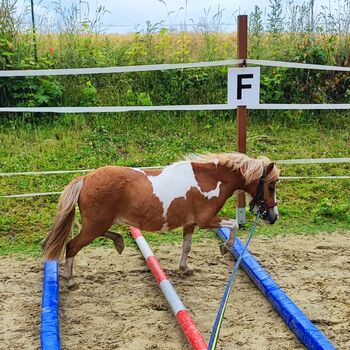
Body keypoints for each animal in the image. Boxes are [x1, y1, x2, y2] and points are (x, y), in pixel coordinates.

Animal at [43, 152, 278, 288]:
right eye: (271, 186)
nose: (274, 217)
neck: (209, 180)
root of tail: (85, 178)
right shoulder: (206, 220)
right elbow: (234, 224)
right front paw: (225, 247)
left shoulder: (191, 223)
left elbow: (186, 246)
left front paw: (185, 268)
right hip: (94, 225)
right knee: (72, 246)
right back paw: (71, 280)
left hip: (98, 224)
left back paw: (119, 242)